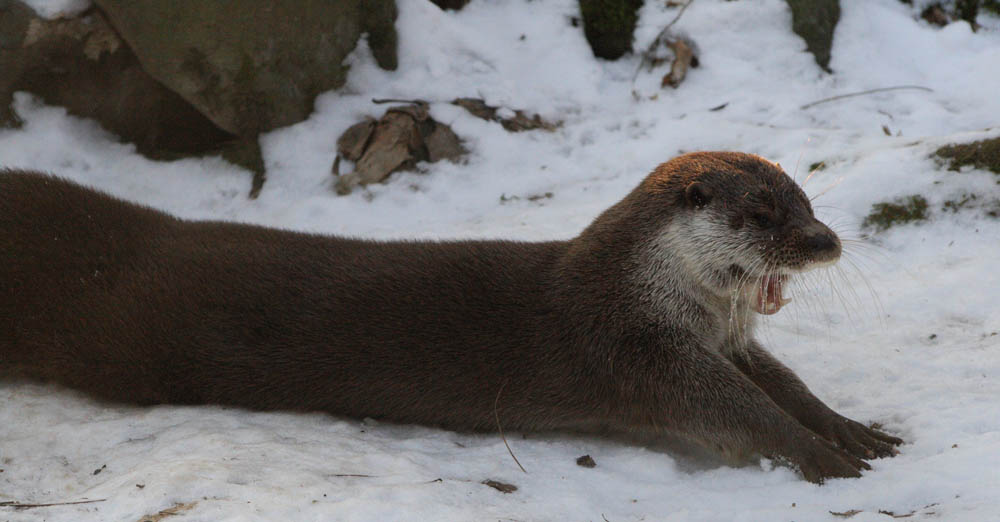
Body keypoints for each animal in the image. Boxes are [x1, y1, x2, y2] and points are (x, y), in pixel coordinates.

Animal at [0, 151, 904, 484]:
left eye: (807, 202)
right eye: (760, 214)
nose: (825, 241)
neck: (637, 291)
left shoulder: (725, 340)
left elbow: (786, 384)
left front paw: (856, 431)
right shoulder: (643, 353)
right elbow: (738, 414)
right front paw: (823, 460)